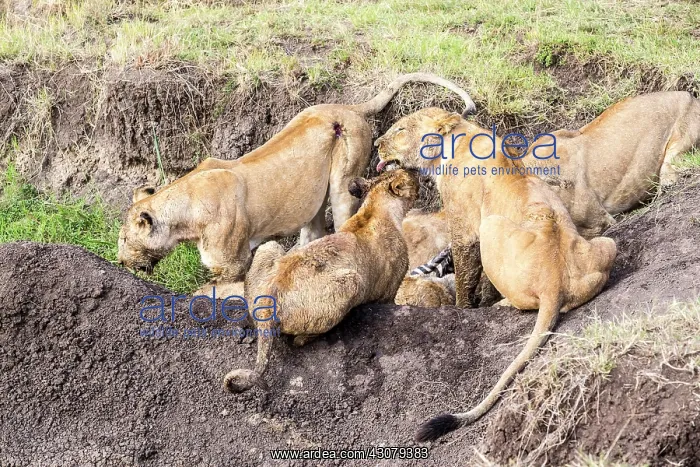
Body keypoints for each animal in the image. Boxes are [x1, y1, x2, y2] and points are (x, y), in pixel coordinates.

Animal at [117, 73, 475, 290]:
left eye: (124, 240)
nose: (121, 262)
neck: (183, 214)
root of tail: (348, 106)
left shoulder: (233, 263)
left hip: (344, 184)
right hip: (313, 200)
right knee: (313, 234)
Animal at [222, 169, 419, 393]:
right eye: (408, 175)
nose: (416, 172)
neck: (375, 208)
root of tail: (268, 300)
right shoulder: (389, 291)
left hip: (269, 246)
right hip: (353, 282)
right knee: (298, 341)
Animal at [375, 108, 617, 441]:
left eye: (399, 130)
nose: (376, 145)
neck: (459, 136)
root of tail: (554, 280)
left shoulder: (465, 227)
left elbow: (465, 273)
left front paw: (464, 307)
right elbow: (487, 280)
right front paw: (485, 298)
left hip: (490, 225)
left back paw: (501, 305)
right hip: (607, 245)